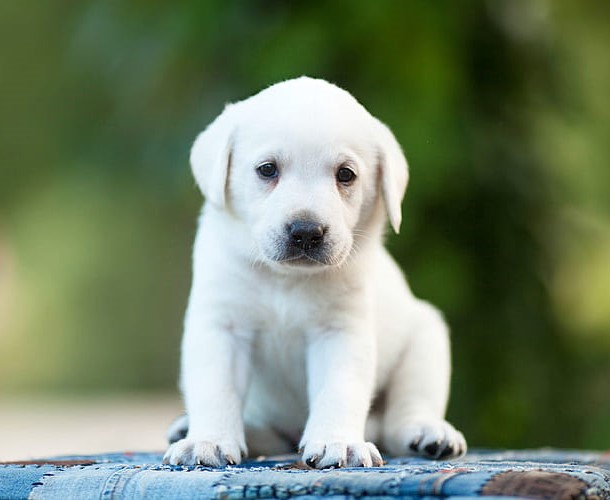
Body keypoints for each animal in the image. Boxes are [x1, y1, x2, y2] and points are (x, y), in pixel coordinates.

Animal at [163, 76, 466, 466]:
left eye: (346, 175)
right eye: (267, 169)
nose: (306, 231)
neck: (285, 280)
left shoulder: (339, 331)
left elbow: (338, 390)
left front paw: (339, 443)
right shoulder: (222, 326)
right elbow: (216, 389)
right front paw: (208, 440)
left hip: (426, 340)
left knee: (403, 415)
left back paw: (429, 433)